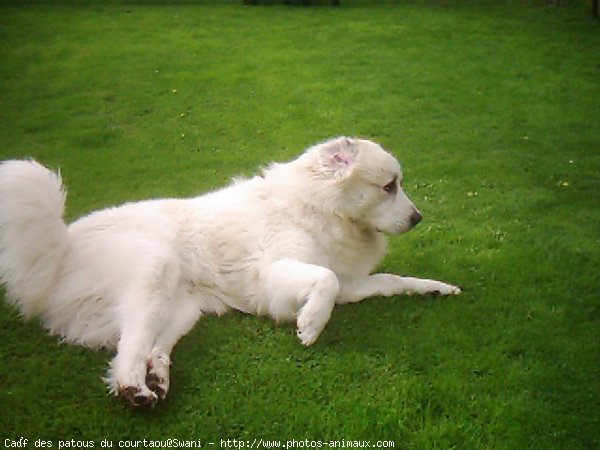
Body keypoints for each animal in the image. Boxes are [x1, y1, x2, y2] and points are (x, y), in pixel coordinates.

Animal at [0, 136, 460, 404]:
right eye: (388, 187)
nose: (418, 218)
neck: (320, 207)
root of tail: (62, 245)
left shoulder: (352, 283)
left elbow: (391, 281)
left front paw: (436, 287)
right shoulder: (277, 277)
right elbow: (324, 281)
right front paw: (310, 325)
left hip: (182, 309)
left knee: (149, 346)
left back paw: (158, 379)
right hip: (154, 269)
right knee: (127, 350)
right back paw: (135, 388)